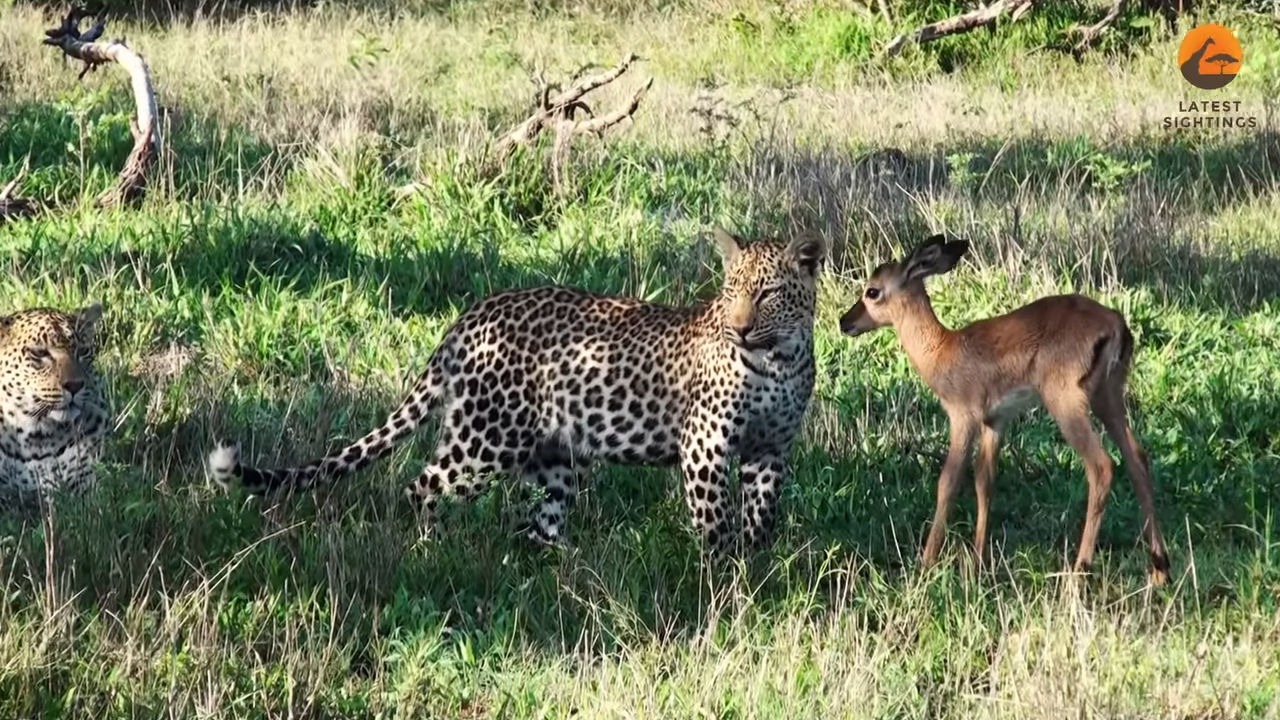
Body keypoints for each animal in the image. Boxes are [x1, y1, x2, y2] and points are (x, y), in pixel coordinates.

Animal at [207, 226, 829, 550]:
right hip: (485, 438)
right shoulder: (705, 445)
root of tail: (470, 315)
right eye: (732, 290)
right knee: (423, 486)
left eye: (768, 292)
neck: (779, 359)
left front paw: (755, 569)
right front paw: (721, 583)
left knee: (543, 516)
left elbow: (761, 516)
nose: (738, 327)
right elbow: (715, 521)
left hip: (556, 454)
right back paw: (430, 552)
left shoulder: (771, 451)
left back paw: (553, 565)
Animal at [834, 235, 1172, 584]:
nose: (845, 321)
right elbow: (985, 481)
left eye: (872, 291)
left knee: (1102, 465)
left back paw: (1080, 569)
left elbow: (948, 483)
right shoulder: (995, 421)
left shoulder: (963, 418)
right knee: (1137, 458)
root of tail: (1116, 324)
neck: (943, 350)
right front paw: (978, 560)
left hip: (1067, 402)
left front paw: (926, 561)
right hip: (1109, 397)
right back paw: (1160, 568)